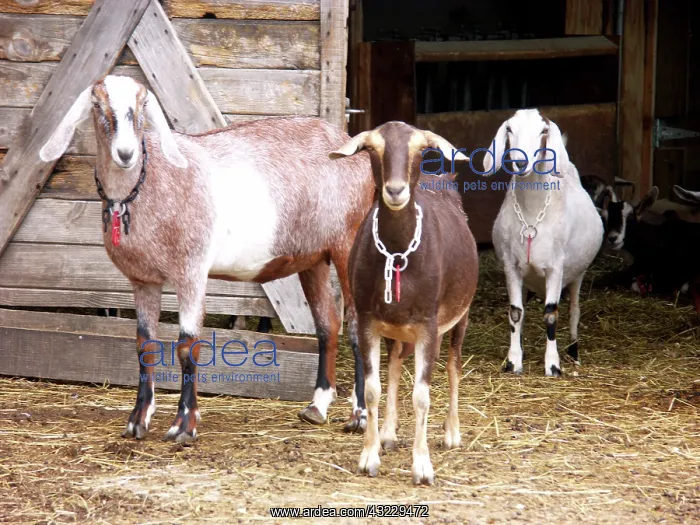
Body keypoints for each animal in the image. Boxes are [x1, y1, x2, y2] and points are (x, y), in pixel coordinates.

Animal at [39, 75, 375, 443]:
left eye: (143, 104)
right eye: (97, 105)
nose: (126, 153)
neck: (152, 182)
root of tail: (347, 145)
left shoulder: (191, 271)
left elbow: (188, 345)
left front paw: (184, 425)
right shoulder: (143, 280)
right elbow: (144, 344)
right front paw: (137, 420)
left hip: (347, 244)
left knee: (356, 326)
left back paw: (359, 416)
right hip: (314, 257)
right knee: (328, 323)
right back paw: (317, 407)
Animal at [328, 121, 479, 485]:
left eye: (420, 150)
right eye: (372, 149)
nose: (395, 191)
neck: (397, 252)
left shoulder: (428, 326)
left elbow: (422, 396)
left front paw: (422, 466)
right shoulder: (367, 320)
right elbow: (372, 390)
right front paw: (369, 457)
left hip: (461, 316)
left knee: (454, 366)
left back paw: (452, 433)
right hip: (394, 327)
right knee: (395, 365)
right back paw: (388, 433)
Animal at [480, 109, 603, 375]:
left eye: (543, 131)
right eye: (509, 129)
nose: (521, 163)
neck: (531, 212)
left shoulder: (556, 268)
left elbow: (551, 314)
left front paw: (553, 365)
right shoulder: (511, 266)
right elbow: (516, 314)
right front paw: (513, 361)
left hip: (578, 273)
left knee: (574, 310)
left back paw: (574, 352)